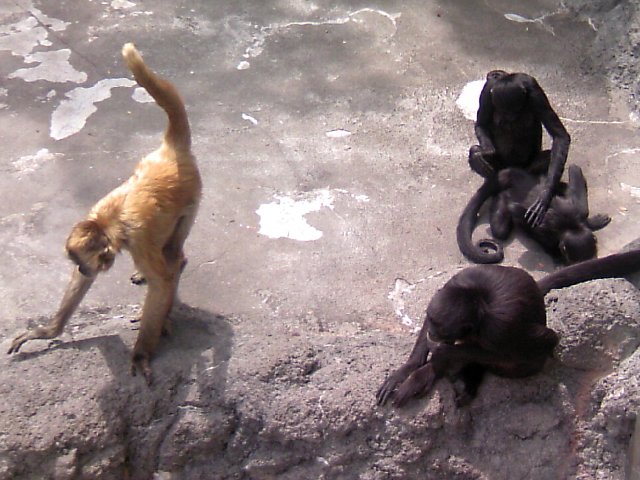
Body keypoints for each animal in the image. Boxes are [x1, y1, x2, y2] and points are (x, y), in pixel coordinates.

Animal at [8, 43, 202, 385]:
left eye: (81, 262)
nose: (82, 269)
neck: (108, 222)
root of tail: (170, 151)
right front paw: (47, 331)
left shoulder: (136, 238)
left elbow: (162, 281)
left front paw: (140, 354)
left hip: (191, 202)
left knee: (174, 256)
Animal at [376, 248, 640, 407]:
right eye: (432, 323)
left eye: (443, 331)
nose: (433, 333)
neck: (479, 299)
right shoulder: (455, 282)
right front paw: (407, 369)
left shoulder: (499, 327)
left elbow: (544, 341)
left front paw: (435, 361)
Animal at [457, 70, 571, 264]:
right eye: (505, 111)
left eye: (515, 110)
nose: (509, 117)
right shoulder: (488, 91)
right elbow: (481, 126)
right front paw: (485, 151)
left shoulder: (534, 90)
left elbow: (560, 136)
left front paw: (544, 197)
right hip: (499, 166)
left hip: (527, 166)